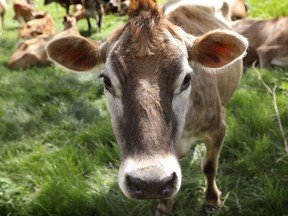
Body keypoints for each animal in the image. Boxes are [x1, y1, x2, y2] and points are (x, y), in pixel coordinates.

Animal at [45, 0, 248, 214]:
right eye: (107, 81)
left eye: (187, 78)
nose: (151, 183)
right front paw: (164, 206)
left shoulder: (218, 129)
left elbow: (209, 166)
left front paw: (211, 200)